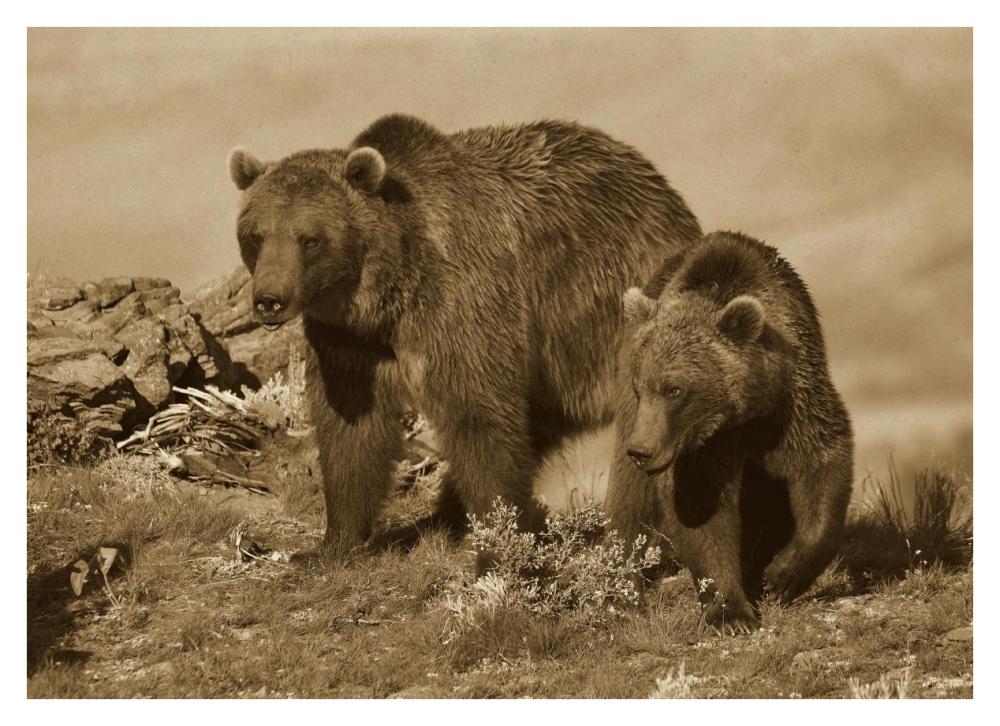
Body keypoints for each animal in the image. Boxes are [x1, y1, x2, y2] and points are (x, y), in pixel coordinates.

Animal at [227, 114, 702, 553]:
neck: (389, 294)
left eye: (310, 238)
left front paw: (500, 542)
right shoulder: (348, 341)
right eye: (255, 235)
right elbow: (351, 428)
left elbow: (479, 415)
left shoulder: (463, 302)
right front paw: (336, 542)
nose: (269, 299)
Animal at [605, 230, 853, 634]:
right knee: (630, 500)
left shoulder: (792, 402)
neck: (745, 410)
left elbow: (819, 462)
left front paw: (782, 575)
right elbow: (701, 507)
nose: (642, 450)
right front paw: (731, 613)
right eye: (642, 387)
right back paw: (623, 589)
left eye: (675, 389)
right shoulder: (703, 446)